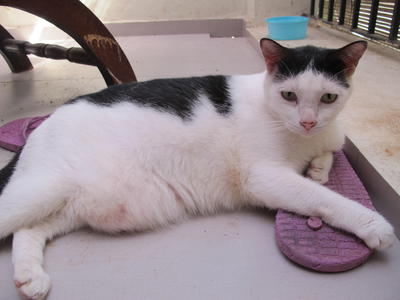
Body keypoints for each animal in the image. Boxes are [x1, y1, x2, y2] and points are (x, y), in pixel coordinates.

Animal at [0, 38, 396, 298]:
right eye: (290, 95)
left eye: (328, 97)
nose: (309, 121)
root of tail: (42, 126)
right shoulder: (264, 177)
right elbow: (324, 199)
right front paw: (372, 224)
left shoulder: (330, 135)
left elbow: (331, 152)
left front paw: (318, 168)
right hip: (43, 189)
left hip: (66, 205)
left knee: (28, 231)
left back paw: (30, 277)